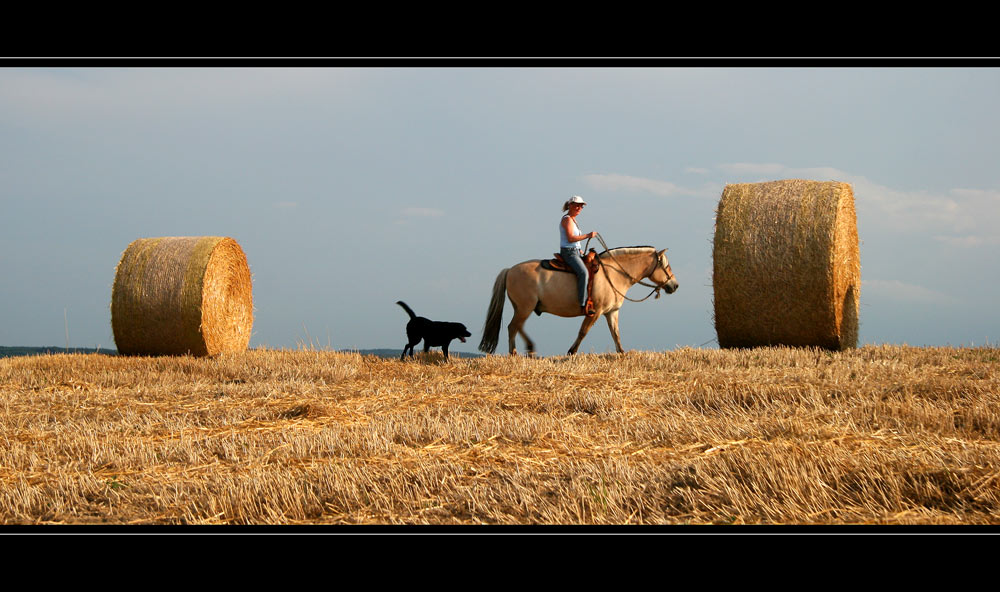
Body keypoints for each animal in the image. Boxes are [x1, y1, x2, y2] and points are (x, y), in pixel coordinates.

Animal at [476, 245, 680, 356]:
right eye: (666, 265)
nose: (675, 285)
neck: (614, 274)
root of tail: (510, 270)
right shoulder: (595, 312)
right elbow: (583, 331)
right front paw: (571, 351)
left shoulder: (611, 312)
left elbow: (616, 334)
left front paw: (622, 353)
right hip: (524, 308)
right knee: (513, 327)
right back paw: (514, 353)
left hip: (523, 308)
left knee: (518, 327)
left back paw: (530, 348)